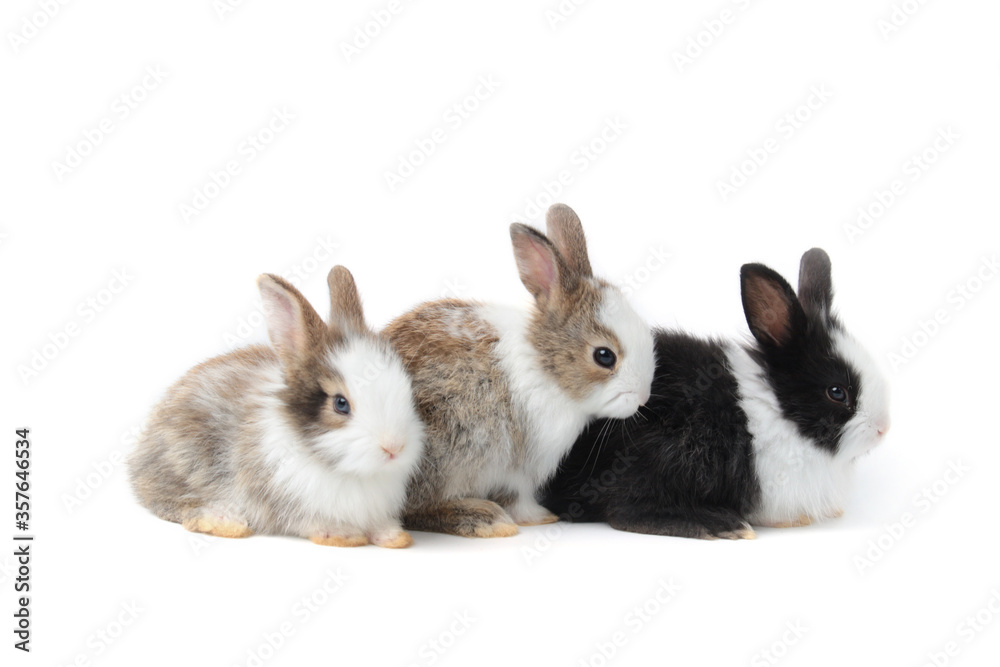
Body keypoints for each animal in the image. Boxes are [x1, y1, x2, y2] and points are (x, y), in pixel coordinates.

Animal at [127, 266, 425, 548]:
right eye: (341, 404)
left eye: (406, 388)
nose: (394, 448)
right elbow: (310, 521)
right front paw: (343, 535)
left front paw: (393, 537)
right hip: (186, 463)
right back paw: (224, 520)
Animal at [383, 203, 656, 538]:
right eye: (604, 356)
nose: (642, 397)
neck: (545, 367)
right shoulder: (521, 466)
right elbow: (518, 497)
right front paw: (540, 517)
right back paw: (484, 518)